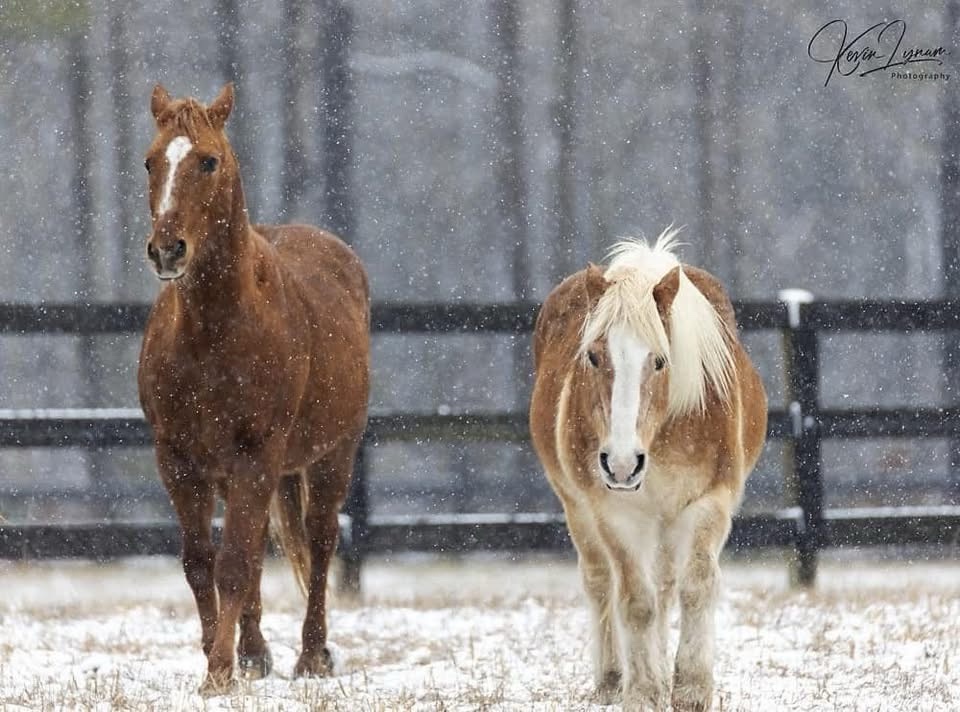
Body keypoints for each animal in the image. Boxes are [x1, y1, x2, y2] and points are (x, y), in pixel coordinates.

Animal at [137, 82, 370, 688]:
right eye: (150, 161)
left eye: (208, 161)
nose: (166, 250)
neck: (214, 332)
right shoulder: (179, 460)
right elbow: (202, 562)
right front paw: (225, 658)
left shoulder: (257, 454)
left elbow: (235, 563)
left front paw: (218, 671)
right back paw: (256, 652)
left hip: (332, 454)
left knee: (320, 541)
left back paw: (312, 655)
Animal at [528, 231, 768, 708]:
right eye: (594, 357)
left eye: (659, 360)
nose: (621, 465)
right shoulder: (615, 513)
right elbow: (636, 602)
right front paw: (641, 691)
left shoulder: (709, 501)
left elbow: (695, 586)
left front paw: (691, 688)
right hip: (578, 509)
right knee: (601, 581)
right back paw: (612, 678)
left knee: (666, 585)